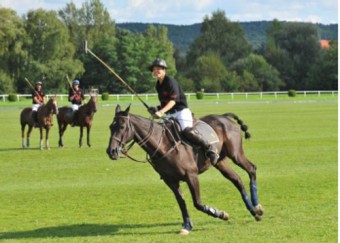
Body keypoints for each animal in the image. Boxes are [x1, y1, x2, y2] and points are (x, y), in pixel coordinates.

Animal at [106, 104, 262, 235]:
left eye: (122, 126)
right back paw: (253, 211)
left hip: (235, 154)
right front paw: (187, 226)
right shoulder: (171, 181)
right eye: (110, 127)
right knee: (237, 180)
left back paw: (257, 206)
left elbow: (197, 203)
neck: (163, 145)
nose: (111, 151)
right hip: (220, 161)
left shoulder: (191, 176)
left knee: (251, 169)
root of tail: (224, 117)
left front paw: (221, 214)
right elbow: (182, 203)